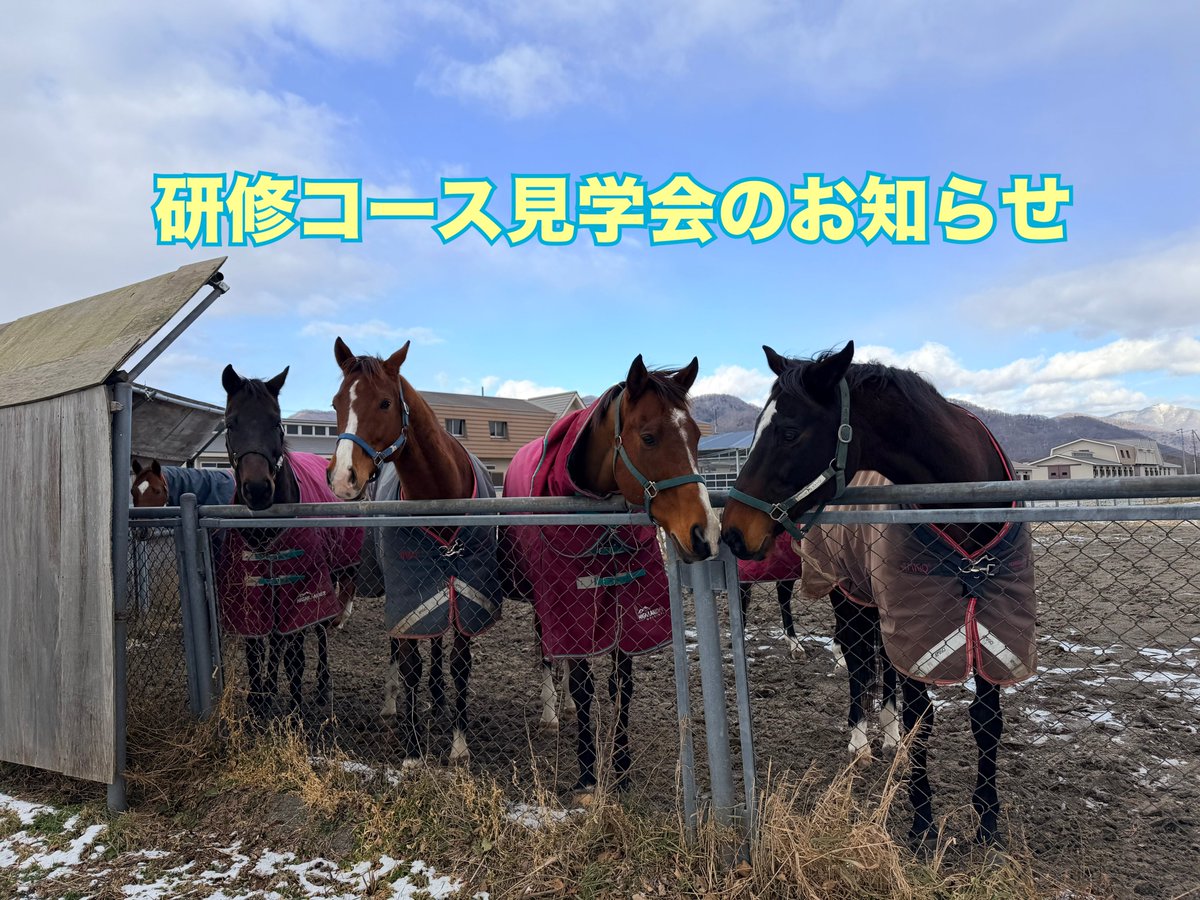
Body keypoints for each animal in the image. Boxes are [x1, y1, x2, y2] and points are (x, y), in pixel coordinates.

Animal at [220, 364, 363, 719]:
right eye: (231, 423)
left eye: (276, 422)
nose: (258, 489)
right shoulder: (253, 588)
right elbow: (257, 648)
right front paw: (258, 700)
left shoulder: (300, 585)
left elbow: (295, 656)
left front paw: (295, 709)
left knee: (320, 629)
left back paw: (322, 686)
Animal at [327, 338, 503, 765]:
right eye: (336, 403)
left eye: (385, 402)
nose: (342, 478)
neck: (441, 493)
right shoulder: (408, 590)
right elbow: (409, 664)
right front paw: (411, 750)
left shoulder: (466, 589)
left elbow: (459, 664)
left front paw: (459, 744)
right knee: (400, 644)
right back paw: (395, 703)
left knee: (437, 644)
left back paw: (437, 699)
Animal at [502, 355, 719, 794]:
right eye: (649, 438)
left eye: (695, 436)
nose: (704, 534)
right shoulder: (569, 597)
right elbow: (585, 686)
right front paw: (587, 770)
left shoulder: (626, 604)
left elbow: (622, 686)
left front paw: (621, 768)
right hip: (542, 597)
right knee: (547, 649)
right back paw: (551, 711)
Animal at [721, 342, 1036, 846]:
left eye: (788, 431)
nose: (732, 530)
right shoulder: (917, 617)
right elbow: (921, 715)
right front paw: (923, 822)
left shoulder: (993, 619)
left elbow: (987, 719)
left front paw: (988, 822)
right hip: (847, 591)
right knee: (854, 656)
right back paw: (859, 738)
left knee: (877, 658)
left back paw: (885, 733)